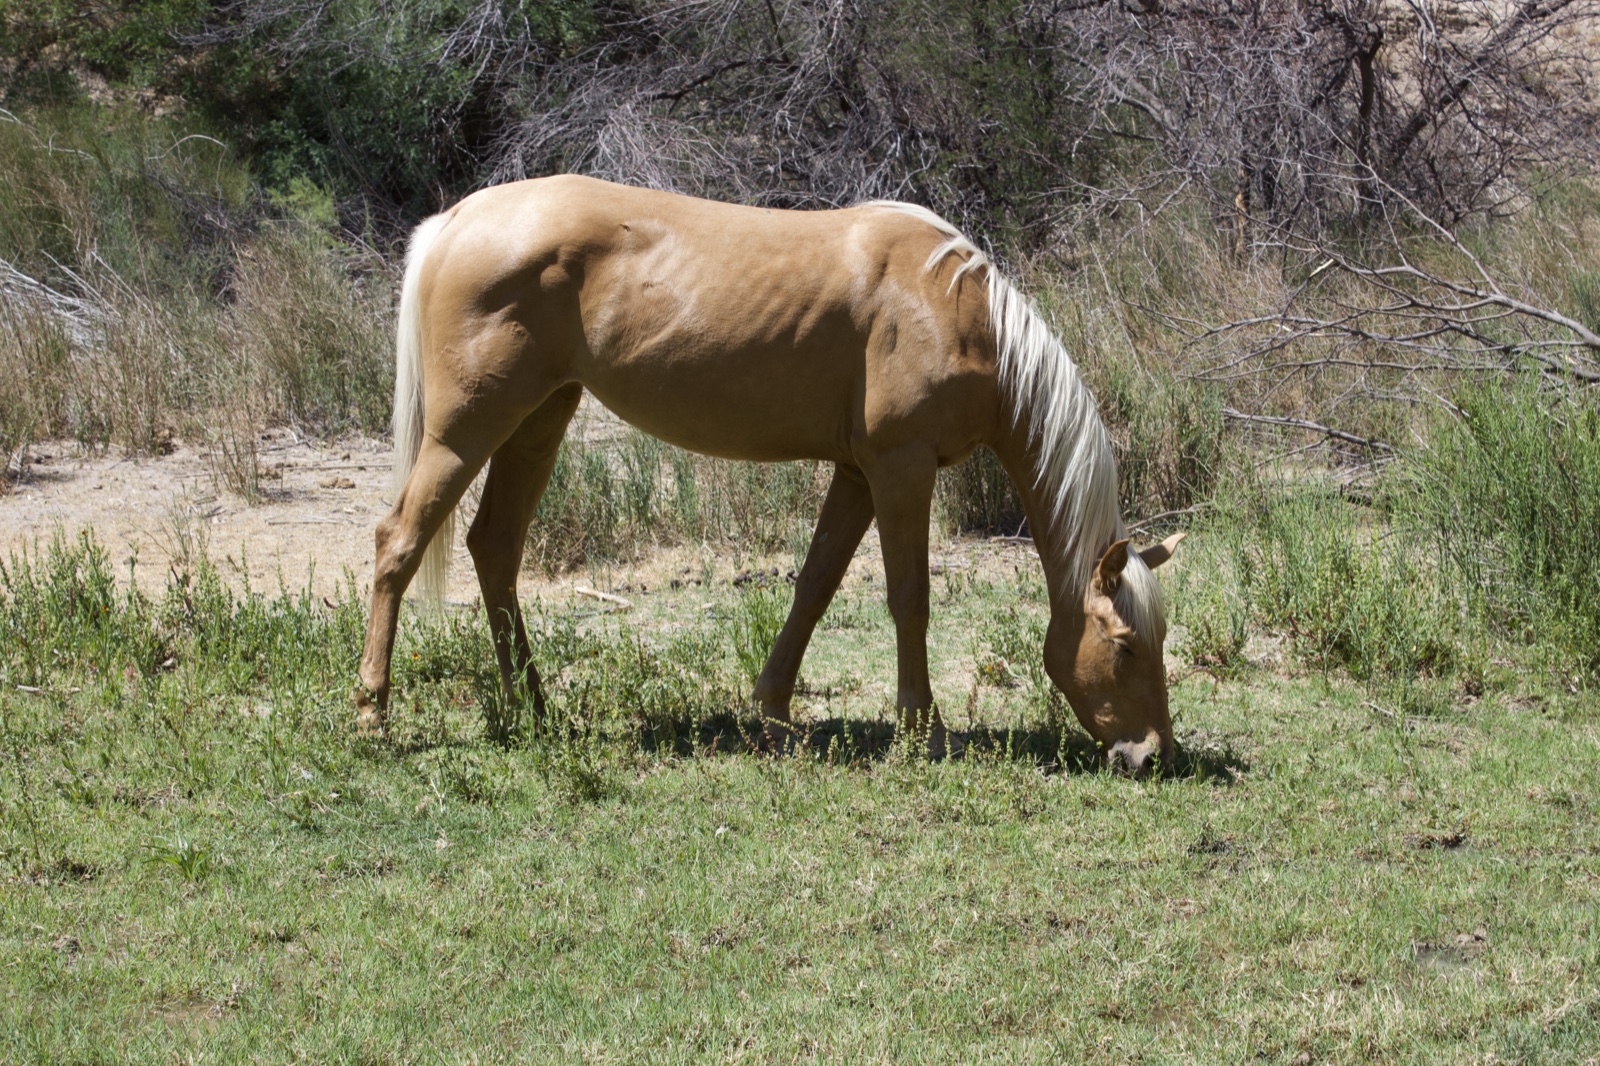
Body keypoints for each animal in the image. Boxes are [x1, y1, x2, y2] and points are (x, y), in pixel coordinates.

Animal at [355, 175, 1185, 774]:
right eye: (1124, 647)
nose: (1152, 756)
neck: (952, 308)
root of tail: (455, 220)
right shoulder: (899, 467)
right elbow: (909, 599)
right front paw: (923, 729)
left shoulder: (856, 474)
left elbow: (815, 586)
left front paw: (774, 709)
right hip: (466, 431)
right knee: (398, 541)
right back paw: (373, 715)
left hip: (540, 419)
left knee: (495, 548)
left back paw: (535, 709)